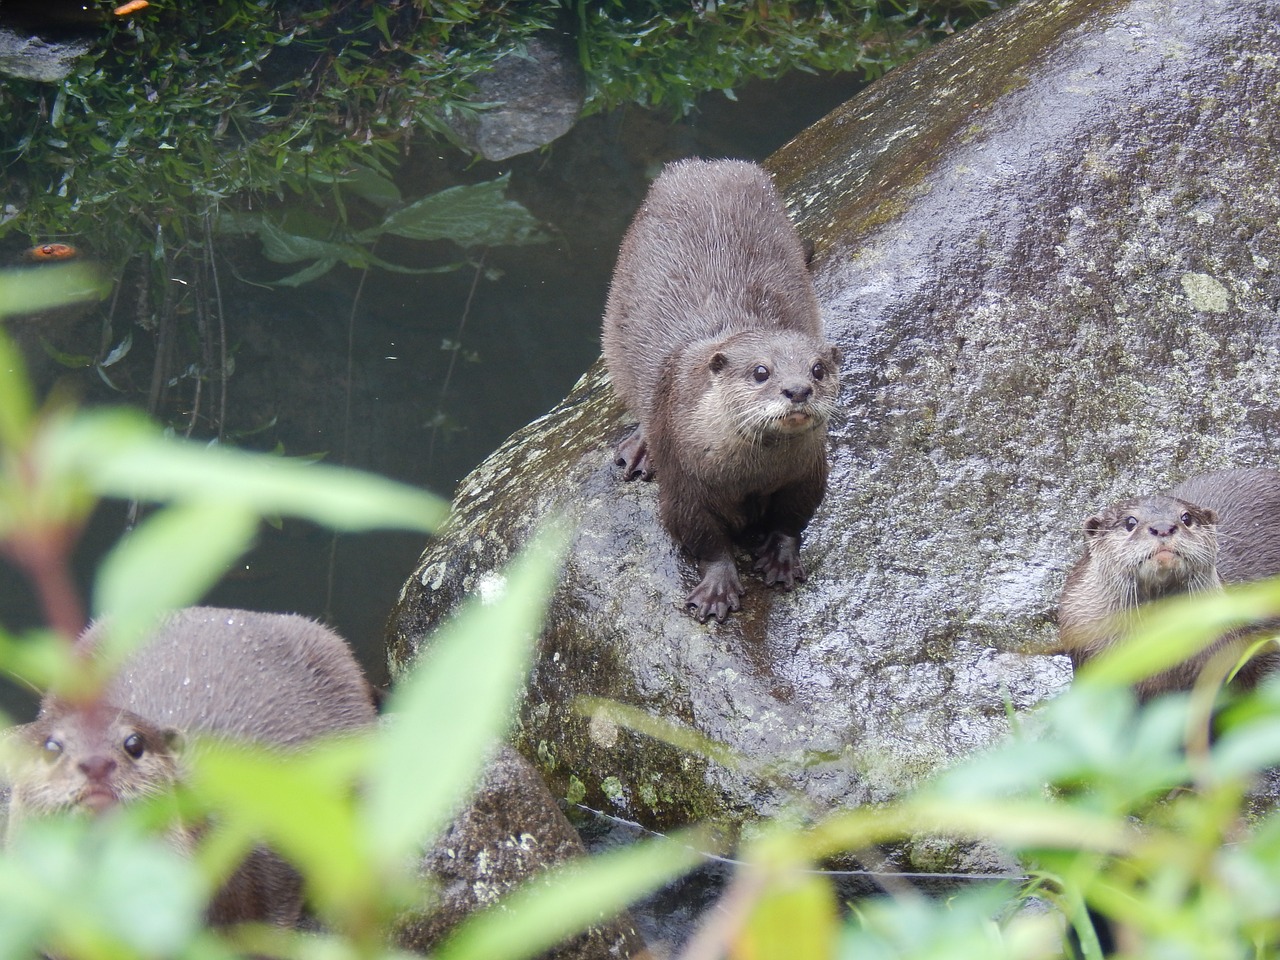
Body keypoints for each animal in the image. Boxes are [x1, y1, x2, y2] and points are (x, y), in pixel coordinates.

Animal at [599, 158, 839, 624]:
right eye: (761, 371)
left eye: (818, 370)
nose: (798, 390)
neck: (751, 474)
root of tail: (703, 165)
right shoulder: (684, 482)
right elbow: (703, 538)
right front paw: (717, 590)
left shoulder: (808, 472)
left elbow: (794, 518)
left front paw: (781, 558)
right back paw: (638, 450)